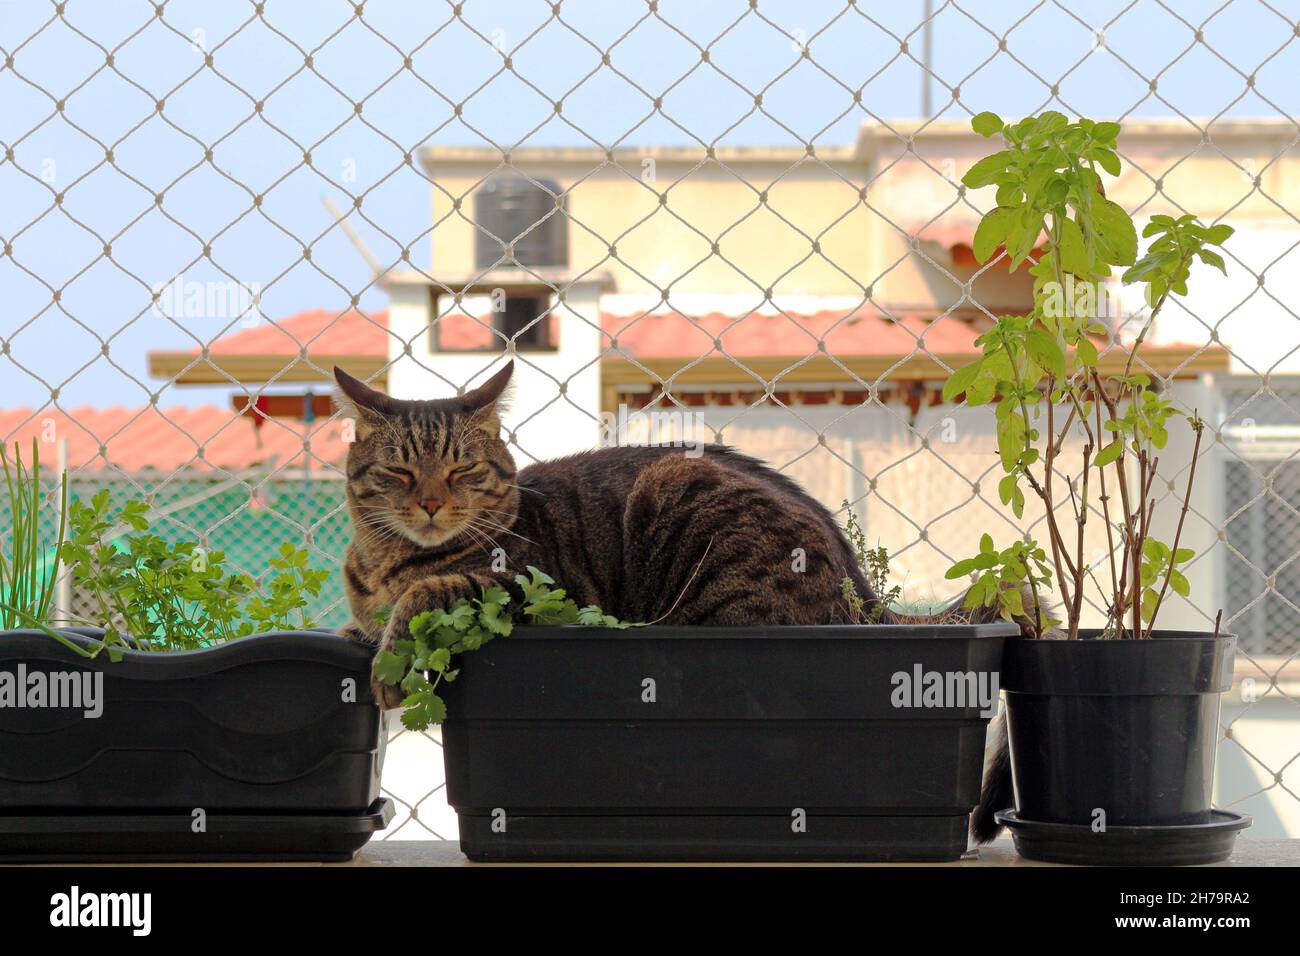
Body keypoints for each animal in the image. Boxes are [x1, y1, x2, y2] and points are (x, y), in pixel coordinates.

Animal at [338, 361, 1034, 842]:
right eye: (400, 472)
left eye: (463, 471)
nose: (431, 503)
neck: (386, 562)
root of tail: (862, 593)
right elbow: (363, 622)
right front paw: (361, 638)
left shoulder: (536, 591)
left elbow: (432, 590)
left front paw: (391, 667)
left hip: (680, 502)